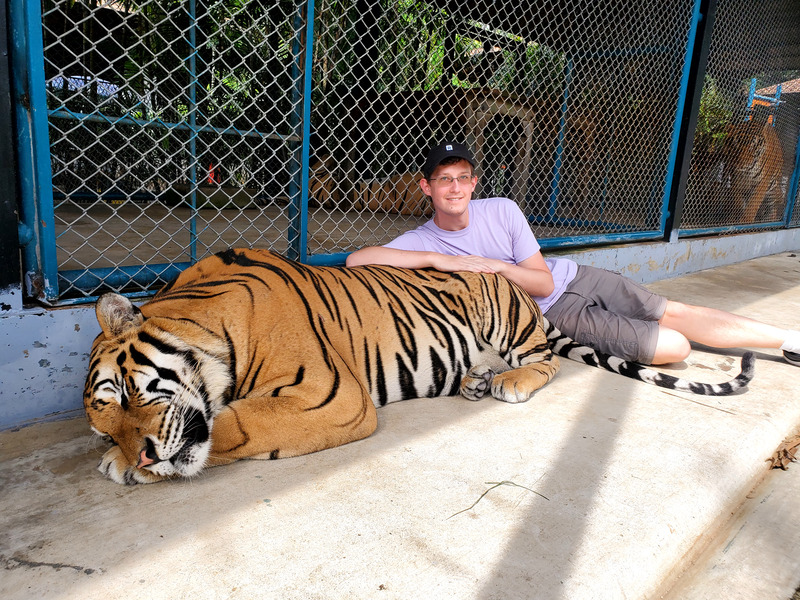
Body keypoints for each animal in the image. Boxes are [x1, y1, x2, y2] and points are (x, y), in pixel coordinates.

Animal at [84, 248, 755, 485]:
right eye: (103, 424)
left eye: (128, 395)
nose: (143, 455)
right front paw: (122, 462)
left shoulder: (330, 396)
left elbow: (236, 424)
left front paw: (134, 467)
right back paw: (475, 382)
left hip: (503, 316)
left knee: (544, 363)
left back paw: (508, 383)